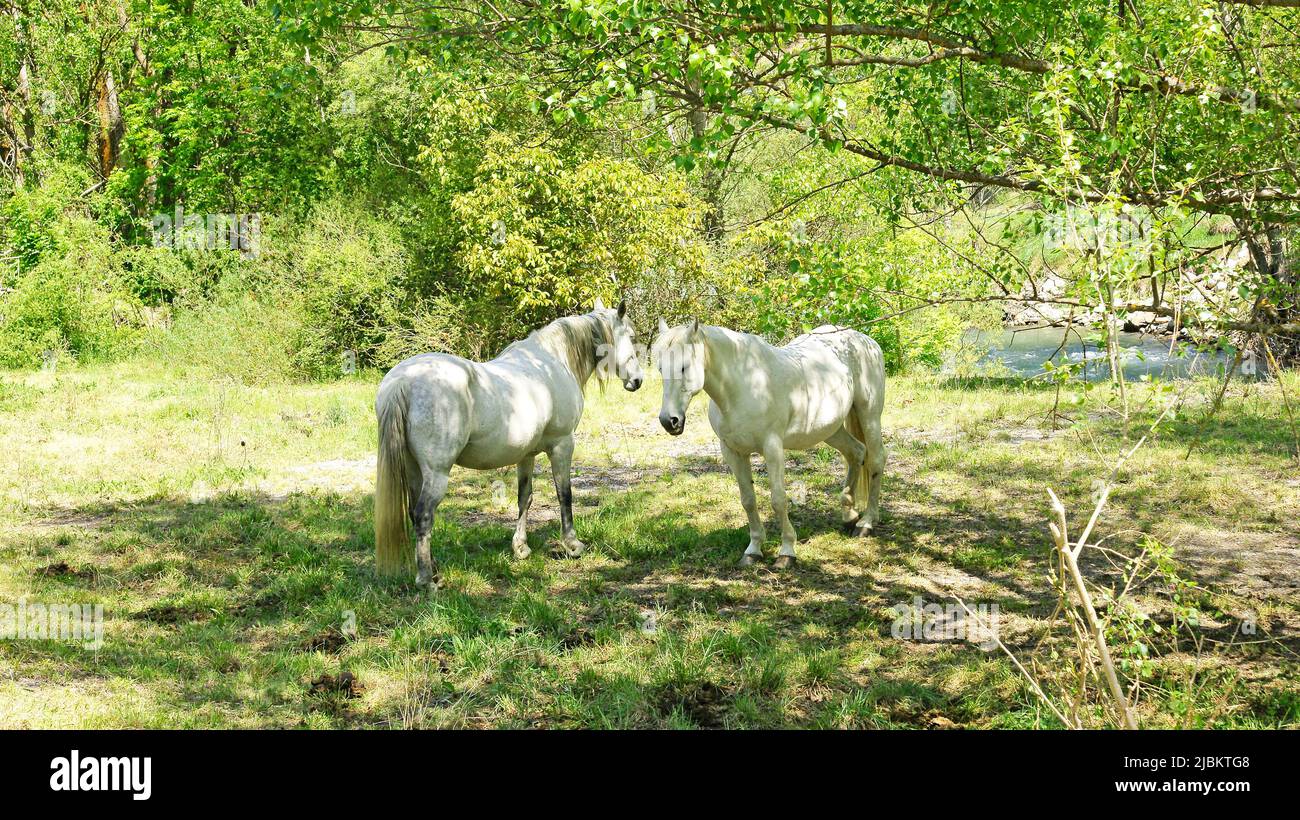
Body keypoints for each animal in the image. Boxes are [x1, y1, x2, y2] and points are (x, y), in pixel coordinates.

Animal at [374, 298, 642, 587]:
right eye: (631, 336)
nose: (637, 380)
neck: (553, 363)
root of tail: (403, 381)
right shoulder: (562, 445)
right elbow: (564, 494)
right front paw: (572, 545)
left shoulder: (527, 454)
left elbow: (525, 497)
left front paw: (520, 548)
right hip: (437, 473)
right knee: (424, 515)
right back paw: (427, 579)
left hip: (413, 468)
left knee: (414, 512)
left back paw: (433, 568)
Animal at [650, 322, 883, 571]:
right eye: (661, 368)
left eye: (684, 367)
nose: (669, 421)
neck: (742, 386)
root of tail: (865, 340)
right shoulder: (733, 452)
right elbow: (748, 501)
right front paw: (753, 550)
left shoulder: (772, 449)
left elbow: (778, 500)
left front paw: (787, 551)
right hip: (831, 428)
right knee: (856, 453)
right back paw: (849, 516)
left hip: (869, 416)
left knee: (876, 460)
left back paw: (866, 523)